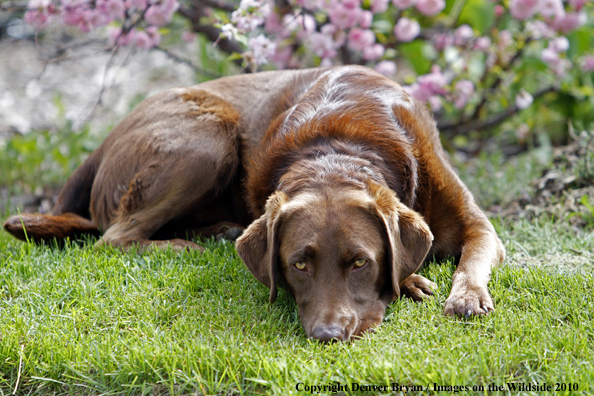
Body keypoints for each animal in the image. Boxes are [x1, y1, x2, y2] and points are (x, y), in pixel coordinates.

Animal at [4, 65, 504, 340]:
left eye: (361, 263)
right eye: (298, 265)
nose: (327, 335)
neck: (339, 149)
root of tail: (103, 141)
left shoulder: (479, 225)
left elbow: (473, 256)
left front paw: (466, 297)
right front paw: (414, 278)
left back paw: (218, 231)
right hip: (208, 137)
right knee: (115, 235)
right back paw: (182, 245)